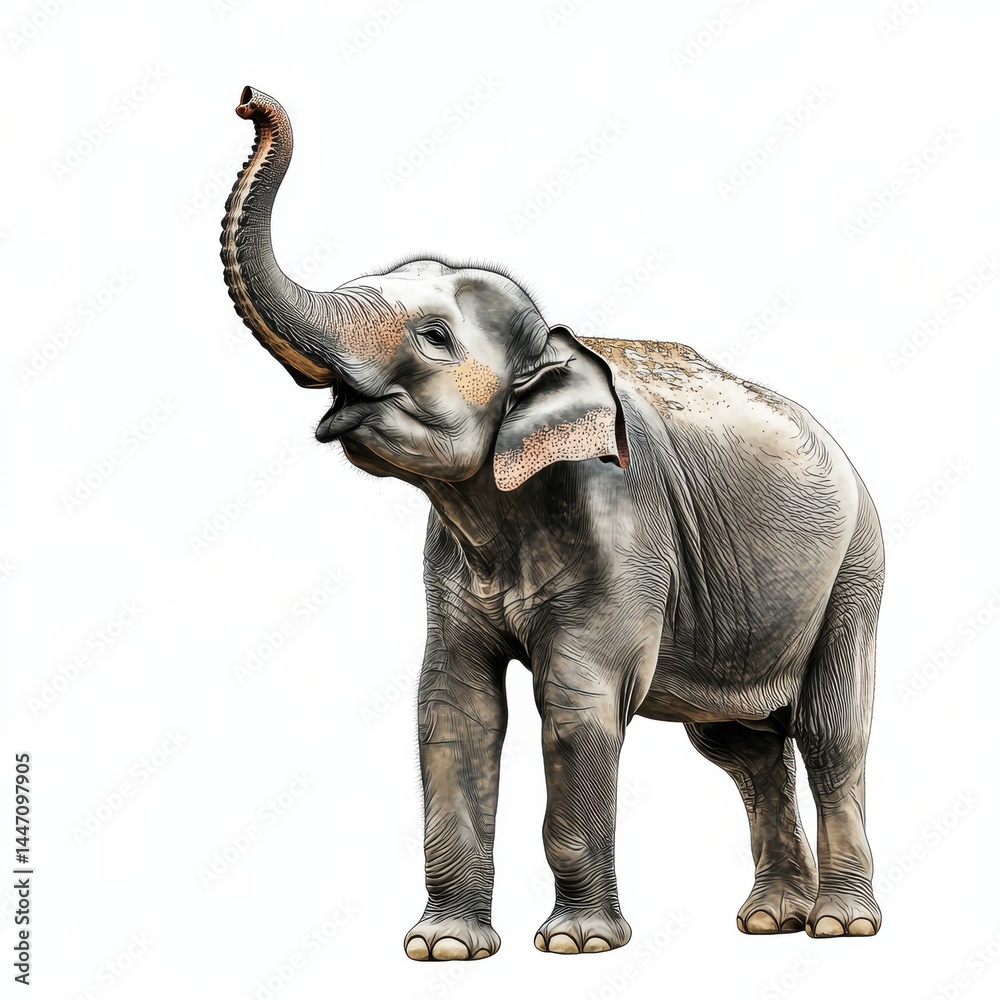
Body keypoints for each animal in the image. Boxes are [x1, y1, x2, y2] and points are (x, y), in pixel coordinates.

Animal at [221, 86, 884, 960]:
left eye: (434, 337)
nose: (246, 99)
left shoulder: (622, 526)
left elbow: (576, 703)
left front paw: (578, 945)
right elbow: (453, 706)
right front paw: (443, 948)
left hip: (856, 570)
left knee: (830, 733)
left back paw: (840, 927)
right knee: (743, 749)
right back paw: (771, 923)